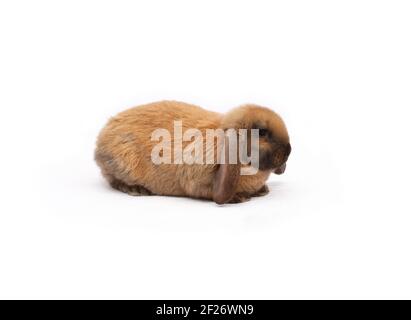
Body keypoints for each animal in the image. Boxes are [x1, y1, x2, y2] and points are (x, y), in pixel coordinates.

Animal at [95, 101, 292, 204]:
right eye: (262, 132)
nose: (289, 150)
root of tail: (100, 142)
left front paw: (262, 190)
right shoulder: (197, 179)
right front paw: (239, 197)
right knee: (113, 180)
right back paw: (137, 190)